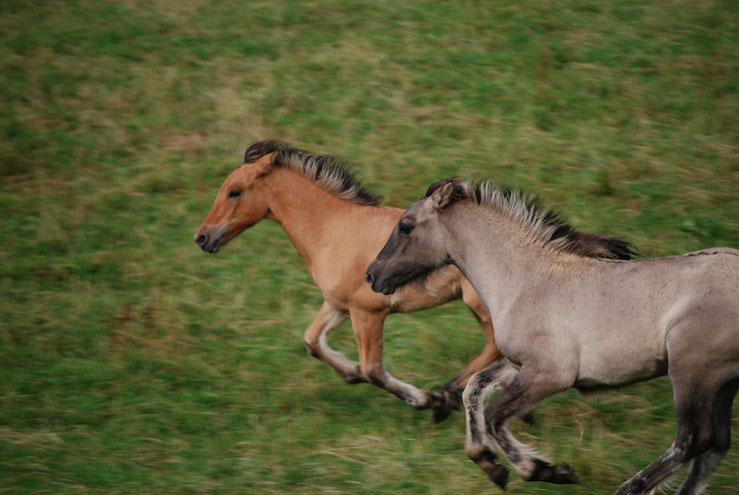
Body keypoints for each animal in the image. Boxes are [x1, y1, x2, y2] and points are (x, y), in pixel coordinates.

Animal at [368, 176, 739, 494]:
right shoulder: (522, 366)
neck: (526, 279)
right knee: (716, 443)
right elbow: (474, 389)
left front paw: (547, 470)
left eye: (405, 226)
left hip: (692, 372)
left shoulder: (552, 375)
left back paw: (629, 488)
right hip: (724, 381)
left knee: (694, 440)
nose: (372, 275)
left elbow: (494, 414)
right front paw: (490, 464)